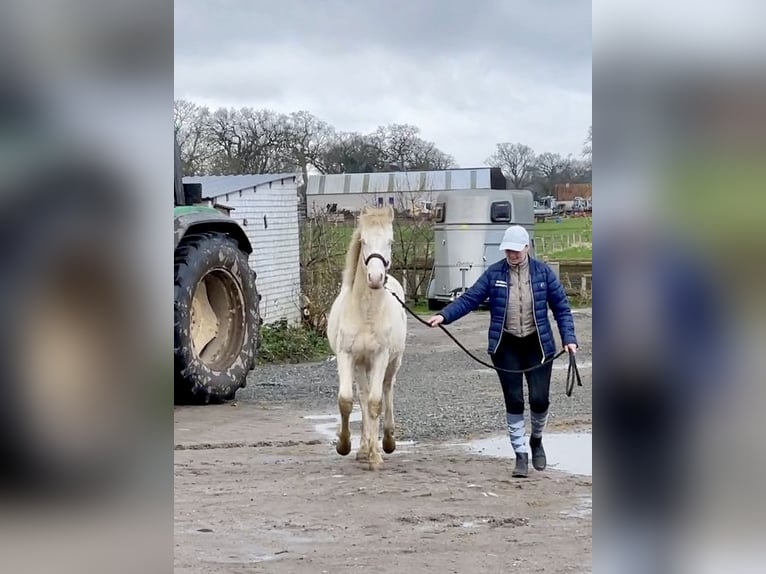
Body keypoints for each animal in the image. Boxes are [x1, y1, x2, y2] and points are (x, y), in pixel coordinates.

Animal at [326, 207, 408, 472]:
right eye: (363, 241)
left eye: (390, 242)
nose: (375, 277)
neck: (366, 312)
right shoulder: (347, 356)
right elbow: (346, 401)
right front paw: (345, 446)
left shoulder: (380, 357)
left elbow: (375, 403)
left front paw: (376, 456)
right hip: (361, 364)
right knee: (361, 397)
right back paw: (363, 448)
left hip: (392, 362)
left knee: (386, 391)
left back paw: (385, 442)